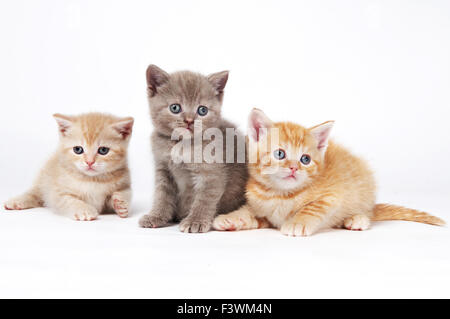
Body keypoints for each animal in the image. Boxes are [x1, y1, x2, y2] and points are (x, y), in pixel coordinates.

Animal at [3, 114, 134, 221]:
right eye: (78, 149)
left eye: (103, 150)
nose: (89, 162)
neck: (93, 179)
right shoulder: (57, 192)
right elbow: (69, 200)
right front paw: (84, 210)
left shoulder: (124, 183)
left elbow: (126, 192)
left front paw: (121, 204)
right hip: (44, 181)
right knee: (35, 193)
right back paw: (16, 202)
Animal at [139, 65, 248, 234]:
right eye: (175, 108)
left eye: (202, 110)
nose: (189, 121)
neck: (181, 144)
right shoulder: (163, 170)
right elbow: (162, 196)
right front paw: (156, 216)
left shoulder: (211, 172)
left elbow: (205, 198)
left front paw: (195, 220)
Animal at [214, 109, 442, 236]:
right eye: (280, 153)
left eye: (305, 159)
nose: (294, 167)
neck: (279, 194)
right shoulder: (263, 211)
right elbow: (248, 213)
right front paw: (230, 219)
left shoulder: (332, 196)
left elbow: (312, 208)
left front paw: (297, 223)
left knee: (366, 211)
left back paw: (357, 219)